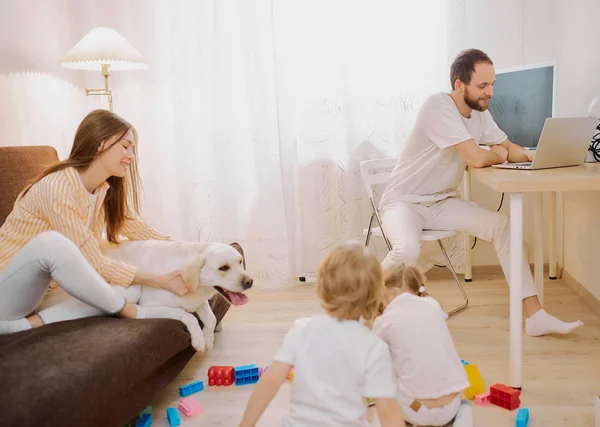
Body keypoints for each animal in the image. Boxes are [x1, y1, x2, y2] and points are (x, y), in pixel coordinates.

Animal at [102, 239, 252, 352]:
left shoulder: (199, 301)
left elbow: (212, 318)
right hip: (134, 288)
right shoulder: (149, 306)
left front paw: (208, 338)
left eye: (240, 261)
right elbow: (189, 316)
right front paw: (199, 339)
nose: (250, 282)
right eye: (223, 268)